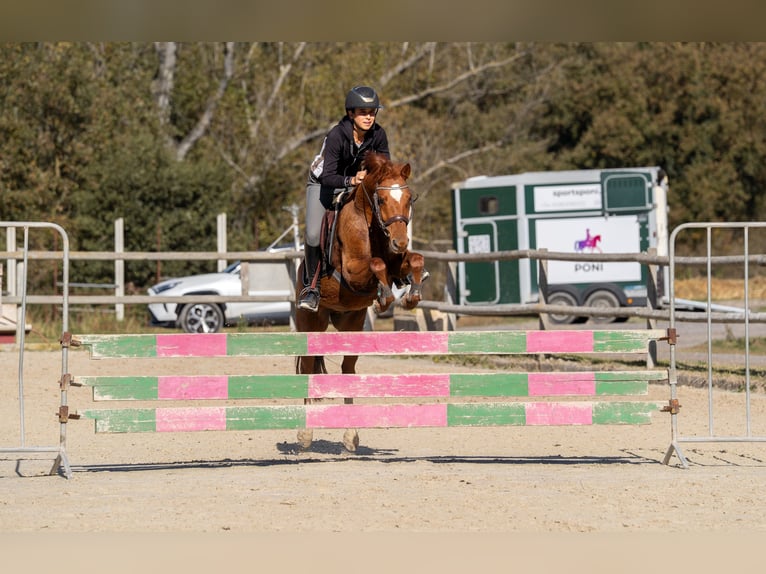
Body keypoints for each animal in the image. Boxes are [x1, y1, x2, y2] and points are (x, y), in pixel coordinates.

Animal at [294, 152, 426, 452]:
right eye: (382, 199)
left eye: (408, 197)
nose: (400, 242)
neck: (372, 227)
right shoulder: (353, 273)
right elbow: (377, 264)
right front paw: (383, 299)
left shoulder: (397, 262)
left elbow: (414, 260)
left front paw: (410, 295)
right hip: (311, 323)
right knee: (307, 369)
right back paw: (305, 435)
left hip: (351, 323)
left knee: (347, 371)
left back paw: (351, 435)